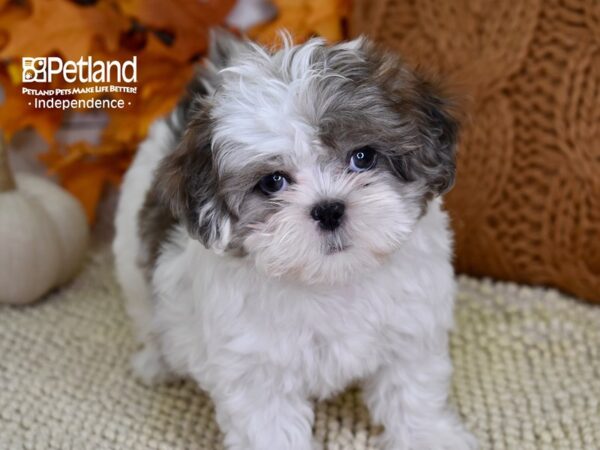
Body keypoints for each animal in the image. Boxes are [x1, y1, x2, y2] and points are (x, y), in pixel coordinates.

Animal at [112, 30, 478, 450]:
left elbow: (412, 392)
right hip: (132, 260)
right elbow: (269, 426)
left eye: (363, 157)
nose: (329, 209)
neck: (332, 280)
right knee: (148, 312)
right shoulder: (256, 371)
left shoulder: (411, 332)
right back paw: (156, 362)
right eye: (273, 182)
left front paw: (430, 436)